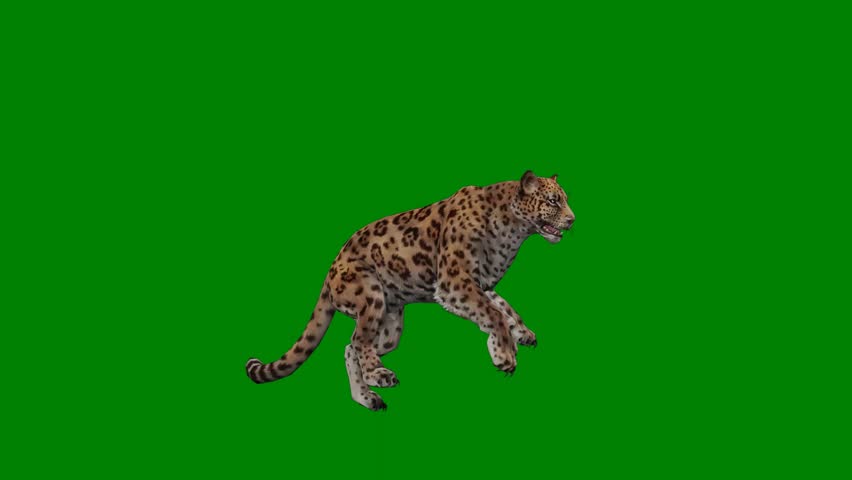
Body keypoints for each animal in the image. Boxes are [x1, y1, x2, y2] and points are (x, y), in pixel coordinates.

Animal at [246, 170, 575, 410]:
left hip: (390, 326)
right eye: (553, 201)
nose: (572, 219)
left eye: (563, 200)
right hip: (370, 296)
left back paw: (367, 397)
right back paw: (379, 375)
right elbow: (492, 313)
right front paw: (505, 355)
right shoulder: (455, 282)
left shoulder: (479, 283)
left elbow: (503, 307)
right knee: (358, 341)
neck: (514, 230)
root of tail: (330, 271)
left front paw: (523, 332)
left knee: (351, 346)